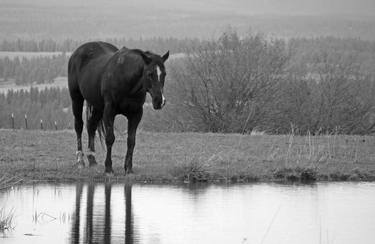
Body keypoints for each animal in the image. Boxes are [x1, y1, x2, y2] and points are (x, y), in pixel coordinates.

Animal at [68, 41, 170, 174]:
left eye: (164, 74)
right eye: (149, 74)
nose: (159, 101)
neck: (125, 79)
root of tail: (78, 51)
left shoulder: (136, 114)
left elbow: (131, 141)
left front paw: (128, 168)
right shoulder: (109, 111)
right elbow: (110, 138)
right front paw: (108, 168)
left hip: (97, 106)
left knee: (91, 126)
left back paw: (92, 159)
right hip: (77, 99)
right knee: (79, 126)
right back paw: (80, 160)